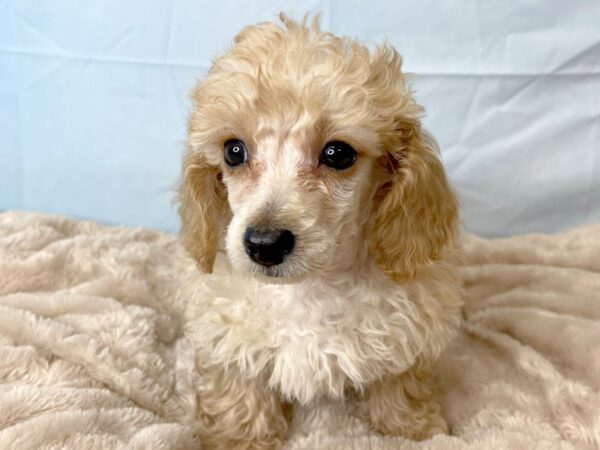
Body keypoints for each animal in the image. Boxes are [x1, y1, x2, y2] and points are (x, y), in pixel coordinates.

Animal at [179, 14, 464, 450]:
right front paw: (238, 437)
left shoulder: (406, 333)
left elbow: (399, 385)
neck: (306, 289)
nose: (264, 244)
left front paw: (412, 429)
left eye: (337, 153)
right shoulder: (229, 335)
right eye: (233, 151)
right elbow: (240, 391)